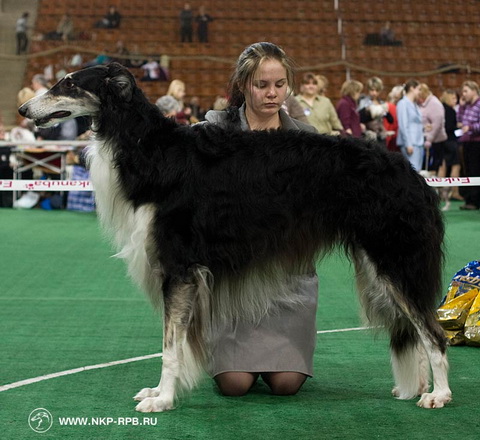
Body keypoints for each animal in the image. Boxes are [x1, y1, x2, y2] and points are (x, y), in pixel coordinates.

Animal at [18, 62, 452, 412]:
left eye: (69, 83)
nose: (22, 110)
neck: (152, 150)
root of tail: (414, 175)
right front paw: (159, 392)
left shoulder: (179, 267)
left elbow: (170, 347)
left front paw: (163, 399)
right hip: (383, 263)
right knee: (415, 331)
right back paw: (418, 388)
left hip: (396, 260)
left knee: (433, 333)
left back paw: (439, 395)